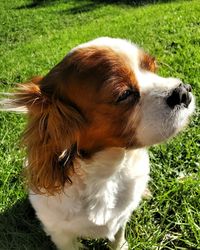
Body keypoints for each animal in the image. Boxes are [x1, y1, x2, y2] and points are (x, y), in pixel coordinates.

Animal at [0, 37, 195, 250]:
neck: (105, 174)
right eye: (124, 94)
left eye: (153, 68)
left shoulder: (120, 218)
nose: (183, 91)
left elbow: (117, 236)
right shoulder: (60, 234)